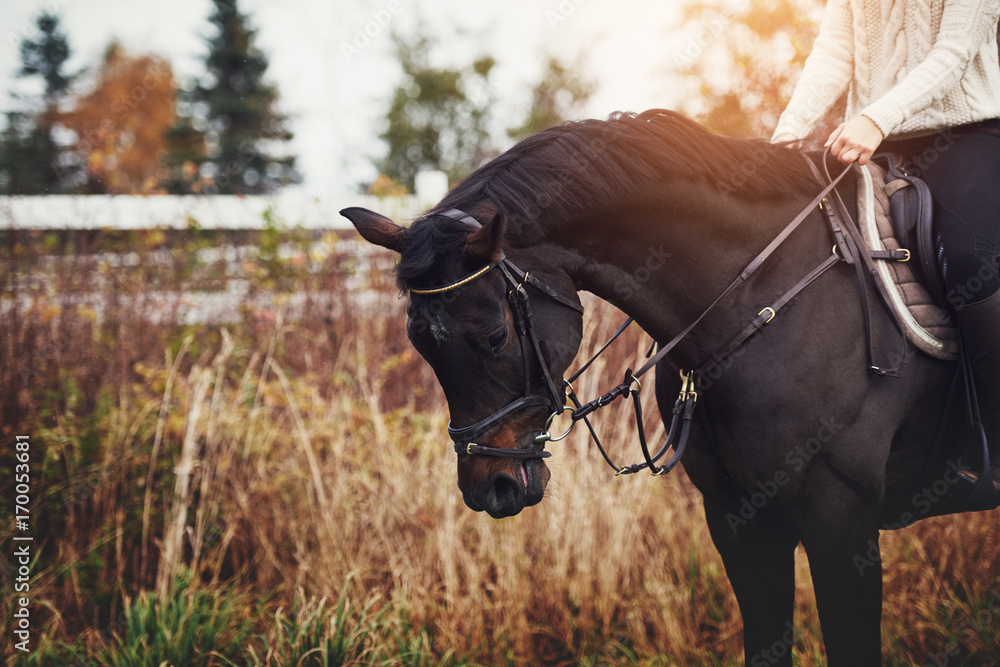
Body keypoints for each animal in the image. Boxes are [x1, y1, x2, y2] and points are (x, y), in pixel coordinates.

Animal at [342, 111, 992, 667]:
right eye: (421, 344)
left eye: (496, 336)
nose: (490, 488)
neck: (757, 300)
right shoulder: (739, 520)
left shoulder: (842, 521)